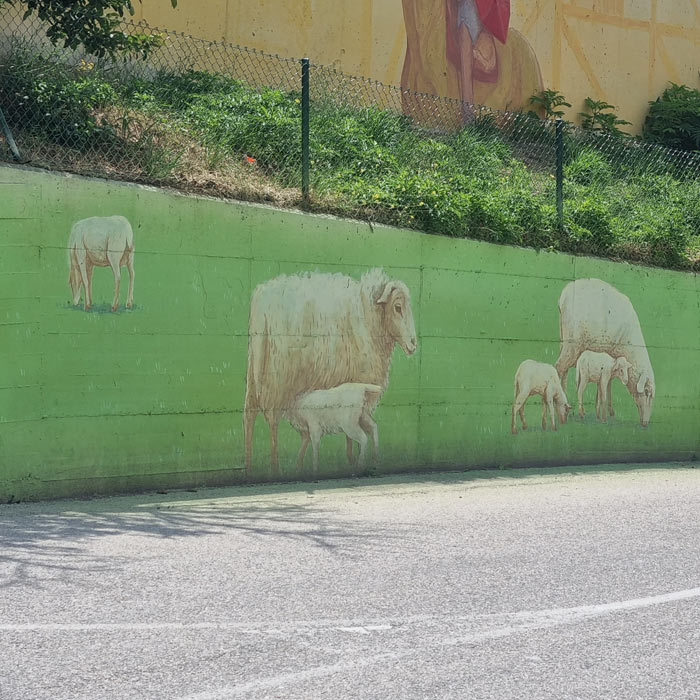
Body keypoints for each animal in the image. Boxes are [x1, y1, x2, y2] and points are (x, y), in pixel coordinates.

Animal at [243, 268, 418, 476]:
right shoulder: (356, 377)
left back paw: (249, 466)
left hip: (255, 370)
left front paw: (351, 457)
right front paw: (351, 458)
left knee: (249, 414)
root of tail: (261, 301)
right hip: (277, 374)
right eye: (398, 307)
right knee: (272, 420)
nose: (414, 344)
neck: (368, 314)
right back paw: (274, 468)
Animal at [552, 278, 656, 426]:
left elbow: (608, 383)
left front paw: (605, 412)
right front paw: (604, 413)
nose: (646, 423)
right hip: (572, 345)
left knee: (564, 372)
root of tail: (563, 297)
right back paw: (560, 409)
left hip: (564, 342)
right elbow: (606, 384)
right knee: (558, 368)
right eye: (646, 392)